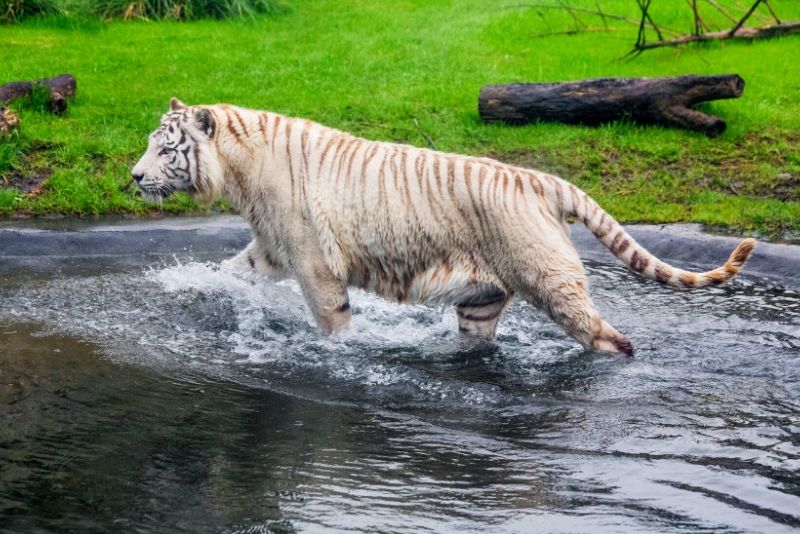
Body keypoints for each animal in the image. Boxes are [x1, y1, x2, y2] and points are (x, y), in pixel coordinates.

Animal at [131, 100, 756, 358]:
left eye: (165, 148)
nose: (134, 176)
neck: (239, 172)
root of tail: (544, 180)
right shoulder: (273, 248)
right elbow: (231, 271)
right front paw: (196, 288)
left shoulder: (313, 262)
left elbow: (333, 321)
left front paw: (343, 351)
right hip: (481, 299)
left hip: (550, 279)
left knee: (606, 336)